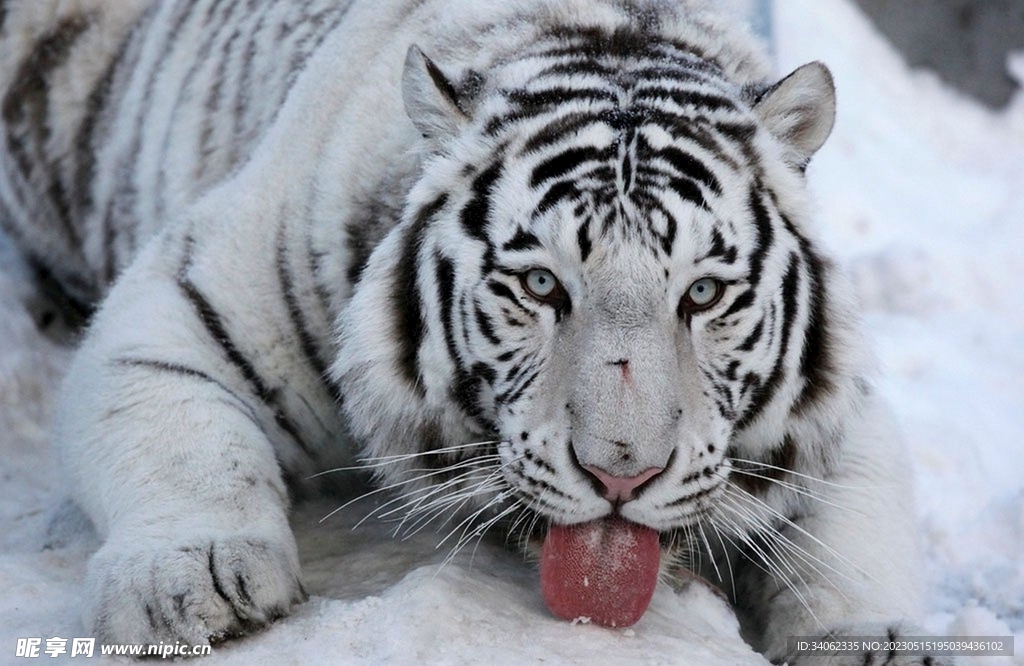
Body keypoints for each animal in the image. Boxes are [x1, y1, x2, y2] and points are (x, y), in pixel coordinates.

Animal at [0, 0, 948, 663]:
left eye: (705, 293)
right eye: (540, 284)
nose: (622, 474)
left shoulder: (840, 405)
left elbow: (858, 521)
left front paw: (872, 643)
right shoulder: (188, 298)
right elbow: (182, 438)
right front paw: (192, 583)